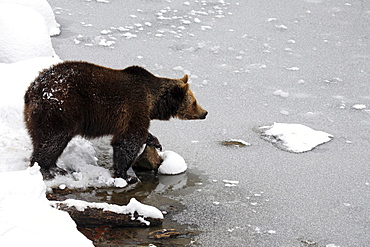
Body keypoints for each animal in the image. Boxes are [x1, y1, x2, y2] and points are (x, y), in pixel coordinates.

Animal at [24, 60, 207, 182]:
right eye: (194, 101)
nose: (205, 112)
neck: (153, 102)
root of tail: (32, 89)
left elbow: (138, 134)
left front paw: (155, 142)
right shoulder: (135, 106)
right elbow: (129, 139)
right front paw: (125, 175)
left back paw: (55, 167)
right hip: (60, 109)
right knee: (52, 140)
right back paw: (46, 169)